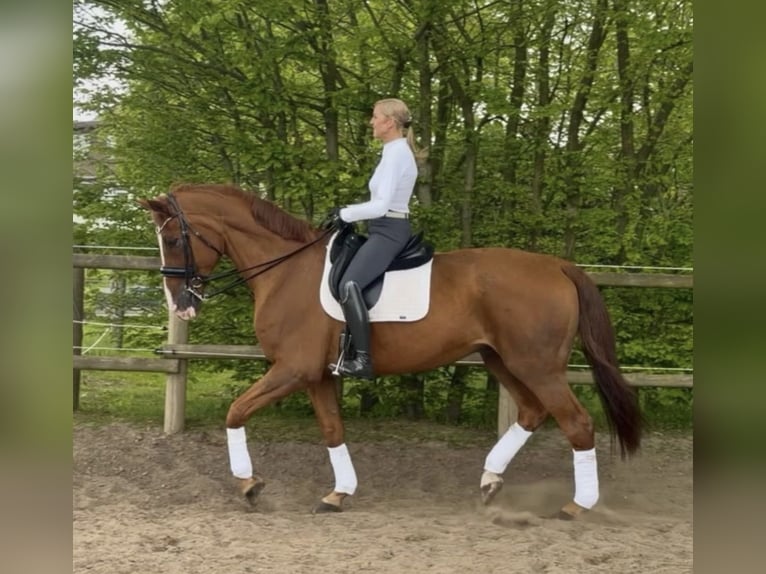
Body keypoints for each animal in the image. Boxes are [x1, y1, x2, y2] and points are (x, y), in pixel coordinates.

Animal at [139, 183, 641, 519]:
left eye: (174, 239)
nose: (180, 304)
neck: (285, 270)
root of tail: (558, 266)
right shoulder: (317, 375)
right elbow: (332, 430)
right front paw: (338, 493)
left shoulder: (292, 369)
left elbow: (235, 411)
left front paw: (248, 485)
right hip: (502, 360)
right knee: (533, 413)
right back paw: (490, 481)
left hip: (537, 365)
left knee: (577, 423)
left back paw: (576, 506)